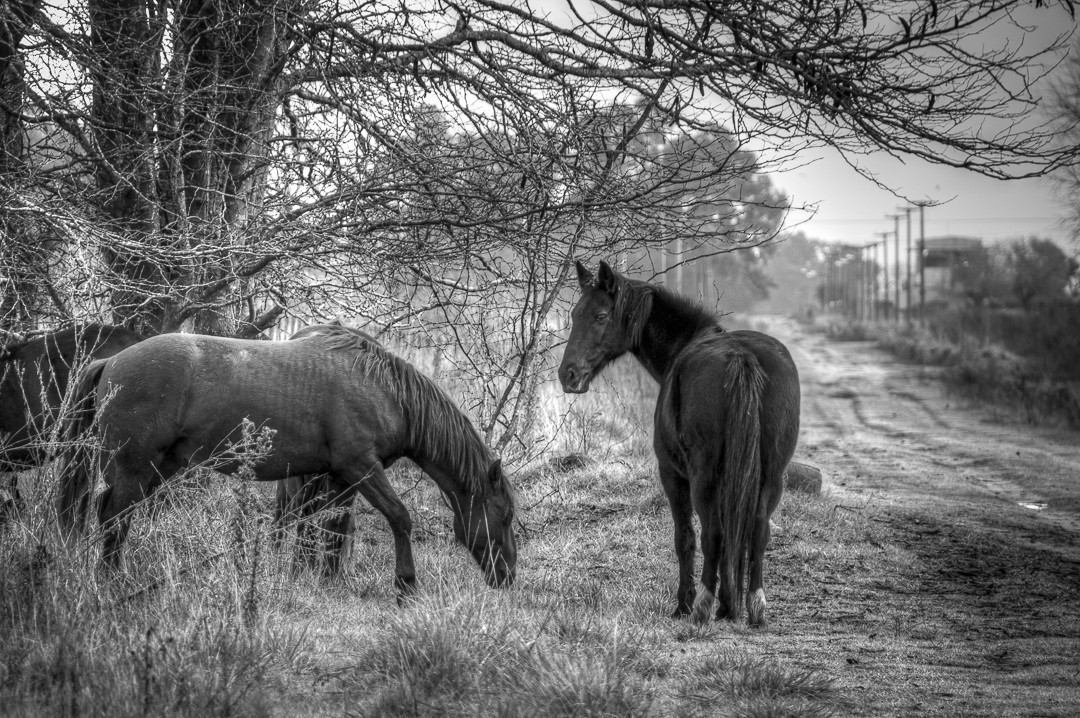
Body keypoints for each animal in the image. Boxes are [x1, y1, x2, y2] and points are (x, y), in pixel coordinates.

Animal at [58, 321, 514, 591]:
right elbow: (399, 518)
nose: (509, 576)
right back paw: (110, 581)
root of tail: (111, 361)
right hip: (133, 467)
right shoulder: (361, 468)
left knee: (111, 514)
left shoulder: (338, 478)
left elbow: (328, 529)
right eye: (505, 515)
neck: (383, 389)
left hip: (158, 466)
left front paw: (321, 582)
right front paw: (406, 584)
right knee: (113, 516)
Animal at [557, 260, 803, 626]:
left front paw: (684, 604)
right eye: (575, 314)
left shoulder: (672, 475)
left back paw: (701, 605)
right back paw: (754, 607)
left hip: (703, 478)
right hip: (772, 476)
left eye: (601, 316)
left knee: (712, 533)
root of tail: (740, 358)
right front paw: (728, 604)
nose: (568, 374)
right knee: (758, 530)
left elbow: (685, 538)